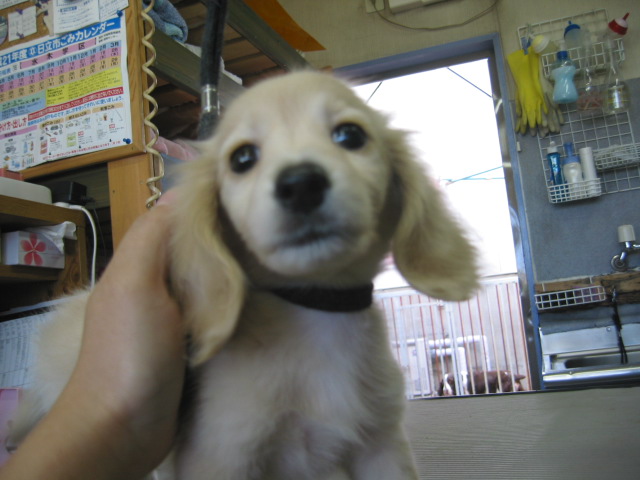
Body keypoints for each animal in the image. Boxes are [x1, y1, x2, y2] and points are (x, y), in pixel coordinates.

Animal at [11, 71, 478, 479]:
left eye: (351, 136)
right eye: (242, 158)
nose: (301, 184)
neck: (315, 313)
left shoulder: (380, 443)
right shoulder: (223, 454)